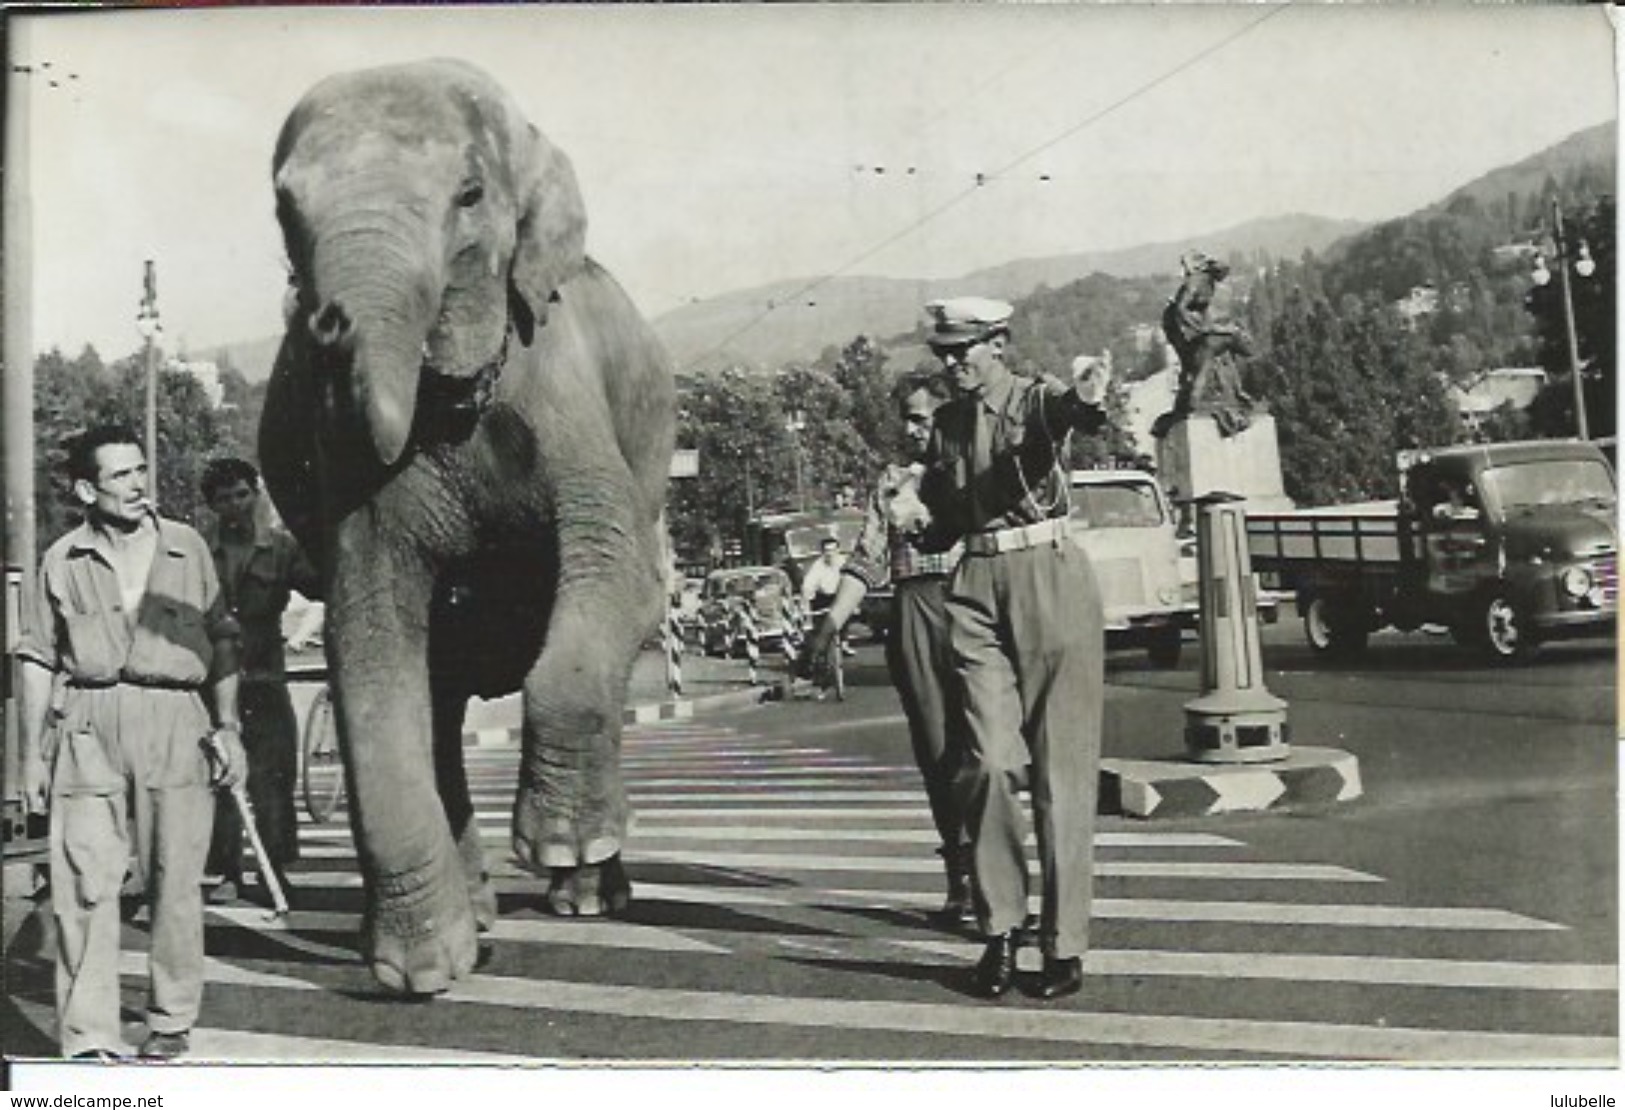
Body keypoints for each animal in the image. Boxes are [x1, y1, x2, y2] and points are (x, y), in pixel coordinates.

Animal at [258, 58, 672, 1001]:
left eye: (470, 194)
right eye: (284, 210)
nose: (325, 326)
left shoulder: (565, 396)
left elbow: (612, 570)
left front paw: (559, 843)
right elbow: (369, 642)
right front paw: (419, 973)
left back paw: (585, 894)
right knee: (438, 705)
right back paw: (479, 915)